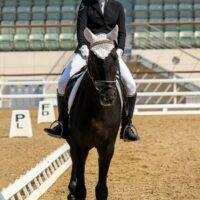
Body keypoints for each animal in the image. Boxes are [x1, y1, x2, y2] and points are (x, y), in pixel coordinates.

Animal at [65, 27, 121, 200]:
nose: (108, 96)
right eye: (92, 59)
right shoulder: (79, 145)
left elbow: (101, 190)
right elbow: (81, 190)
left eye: (115, 57)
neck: (98, 111)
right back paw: (71, 187)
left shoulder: (107, 147)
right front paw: (74, 189)